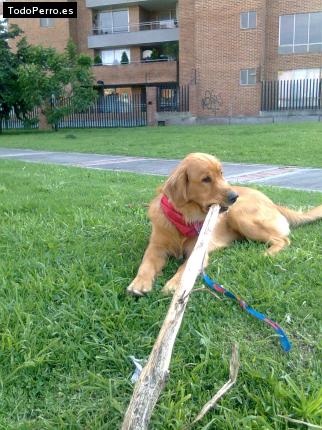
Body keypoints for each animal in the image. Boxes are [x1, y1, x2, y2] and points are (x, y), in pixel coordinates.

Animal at [127, 152, 320, 296]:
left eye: (221, 173)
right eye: (206, 179)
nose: (235, 196)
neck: (185, 218)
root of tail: (271, 202)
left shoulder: (198, 253)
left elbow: (184, 268)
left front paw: (175, 284)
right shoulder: (156, 247)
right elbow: (146, 264)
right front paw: (139, 283)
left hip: (239, 214)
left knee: (283, 240)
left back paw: (266, 254)